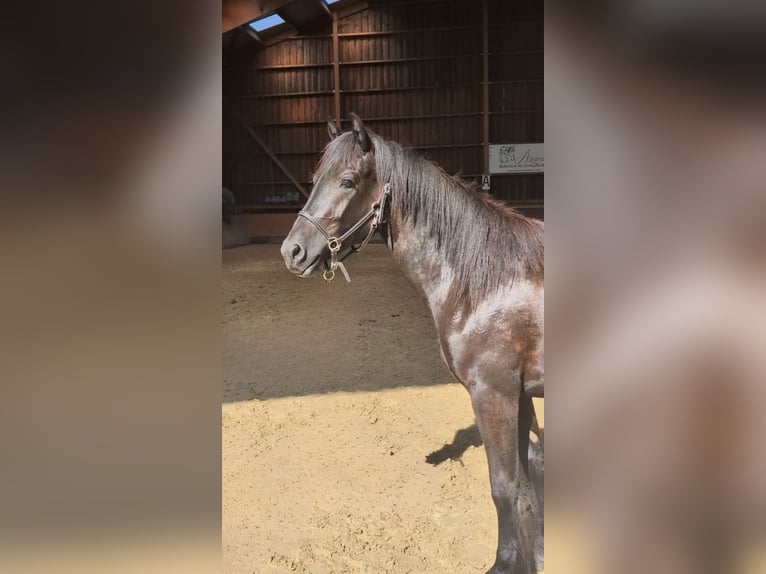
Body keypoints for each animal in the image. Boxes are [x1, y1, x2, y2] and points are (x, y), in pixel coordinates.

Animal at [280, 114, 544, 574]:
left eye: (347, 181)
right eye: (315, 179)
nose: (291, 252)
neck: (488, 283)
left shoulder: (494, 394)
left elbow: (503, 484)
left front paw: (506, 562)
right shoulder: (521, 394)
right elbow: (528, 478)